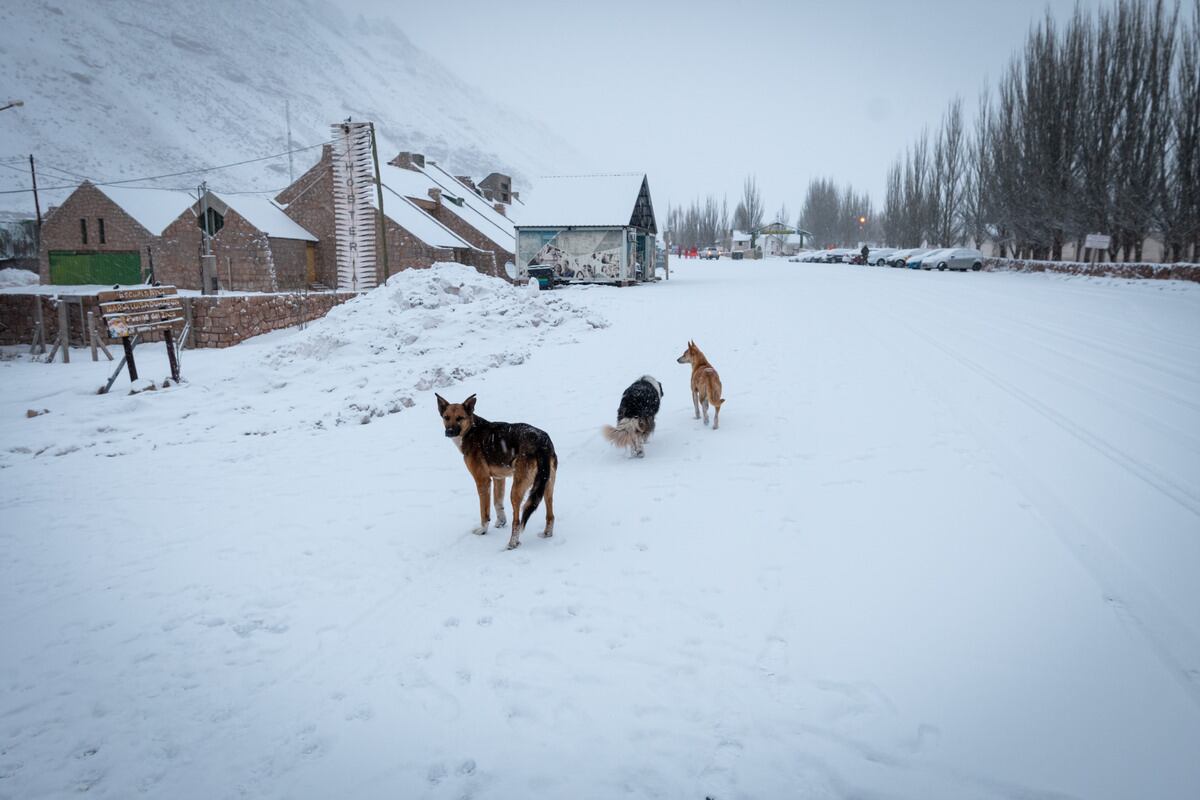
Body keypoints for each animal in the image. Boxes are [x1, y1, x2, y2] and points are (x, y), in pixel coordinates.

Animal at [436, 393, 556, 551]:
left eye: (460, 418)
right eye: (446, 417)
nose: (449, 432)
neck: (471, 430)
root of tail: (542, 443)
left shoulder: (483, 480)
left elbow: (484, 511)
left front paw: (483, 530)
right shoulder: (499, 478)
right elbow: (497, 503)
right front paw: (501, 522)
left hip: (517, 490)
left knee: (517, 521)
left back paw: (512, 543)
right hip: (546, 486)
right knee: (550, 515)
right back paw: (547, 534)